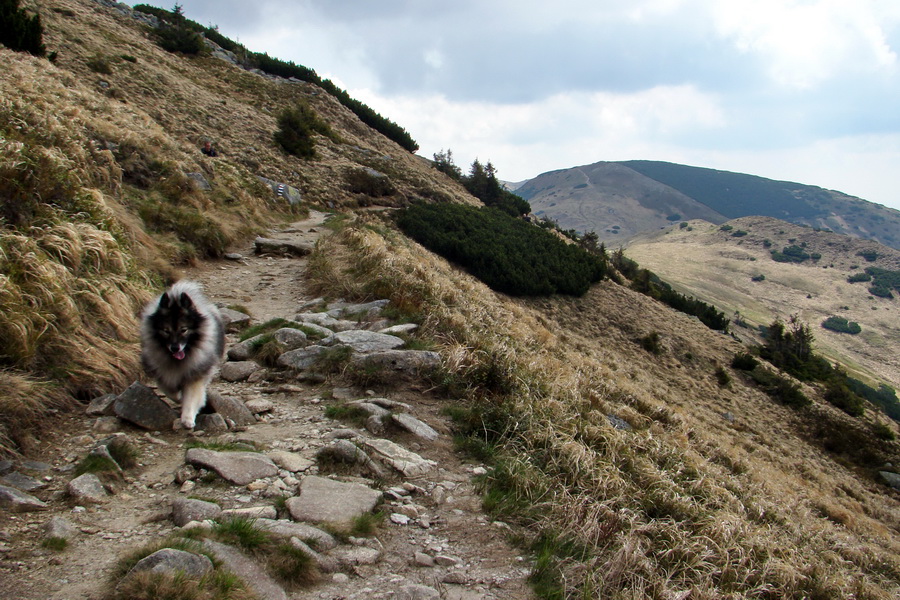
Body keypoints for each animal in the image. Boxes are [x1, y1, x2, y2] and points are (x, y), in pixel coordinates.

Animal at [142, 278, 227, 428]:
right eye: (166, 330)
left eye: (184, 330)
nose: (175, 348)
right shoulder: (161, 373)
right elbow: (169, 390)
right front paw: (178, 397)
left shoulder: (195, 374)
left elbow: (191, 398)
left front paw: (187, 418)